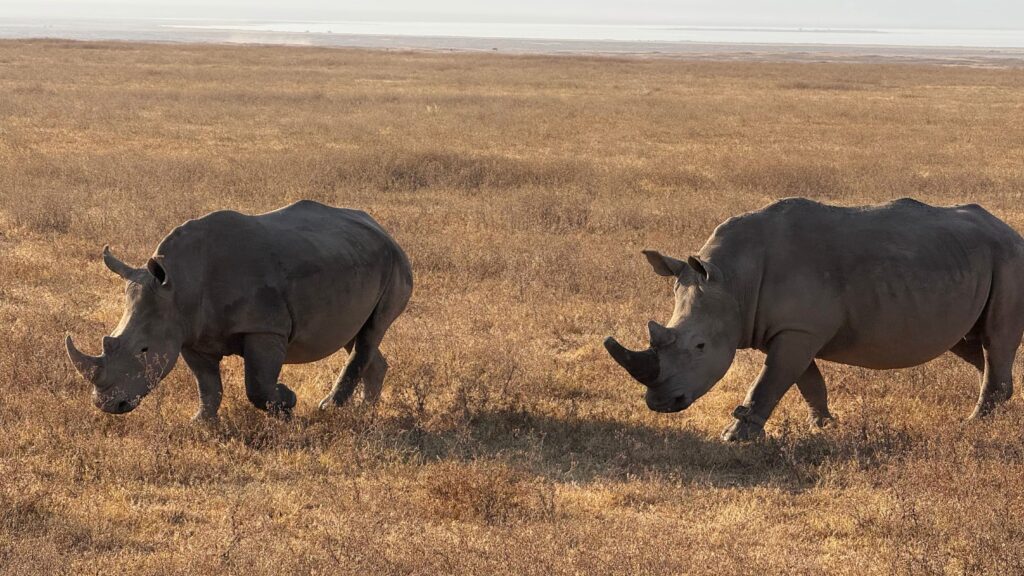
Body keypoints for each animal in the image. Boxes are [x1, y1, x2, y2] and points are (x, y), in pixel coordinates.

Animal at [65, 200, 413, 420]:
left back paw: (329, 408)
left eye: (144, 350)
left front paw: (287, 403)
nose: (107, 405)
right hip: (355, 258)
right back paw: (366, 413)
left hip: (396, 263)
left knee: (371, 333)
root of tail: (382, 229)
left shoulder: (265, 326)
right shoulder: (189, 333)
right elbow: (207, 385)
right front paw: (201, 423)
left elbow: (257, 385)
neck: (178, 285)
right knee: (356, 336)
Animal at [605, 197, 1024, 441]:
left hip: (1008, 258)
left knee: (995, 340)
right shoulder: (790, 330)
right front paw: (825, 426)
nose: (661, 403)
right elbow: (805, 382)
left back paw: (972, 426)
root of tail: (1010, 231)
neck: (734, 281)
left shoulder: (797, 330)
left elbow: (769, 383)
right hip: (970, 262)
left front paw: (734, 436)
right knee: (975, 347)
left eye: (700, 346)